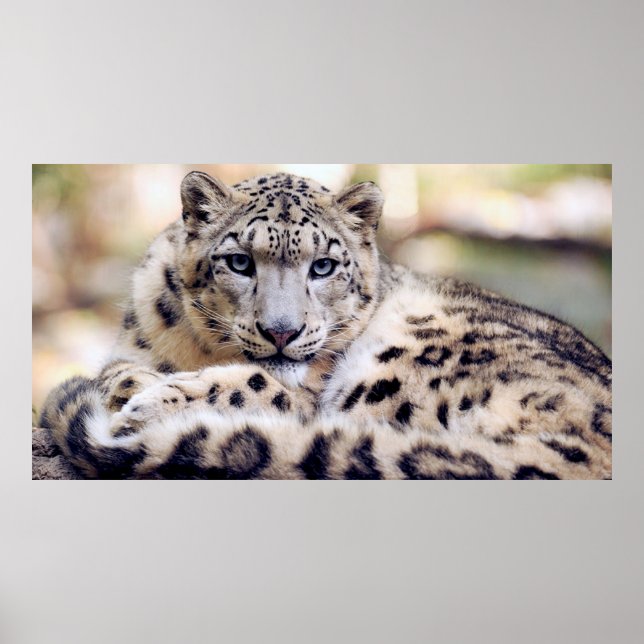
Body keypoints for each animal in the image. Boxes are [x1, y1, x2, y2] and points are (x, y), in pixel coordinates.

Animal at [38, 170, 612, 479]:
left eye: (323, 266)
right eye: (239, 261)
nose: (281, 331)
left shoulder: (305, 393)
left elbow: (257, 386)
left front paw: (148, 401)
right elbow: (119, 369)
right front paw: (134, 384)